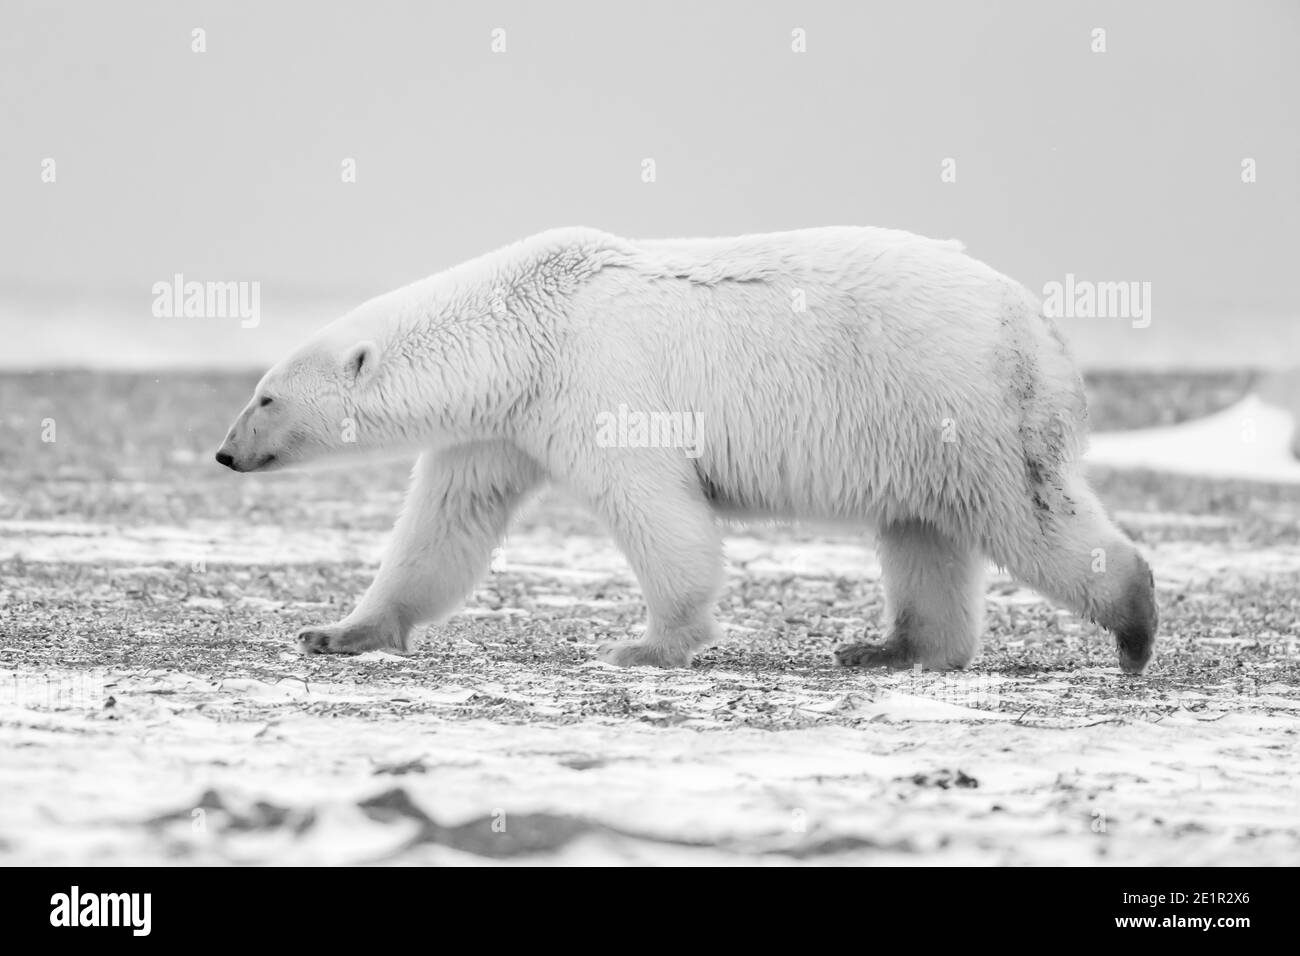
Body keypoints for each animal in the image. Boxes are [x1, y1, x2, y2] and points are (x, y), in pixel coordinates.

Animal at [215, 226, 1158, 674]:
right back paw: (887, 647)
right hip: (919, 429)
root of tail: (1041, 321)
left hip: (964, 400)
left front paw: (644, 646)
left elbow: (656, 510)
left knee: (1026, 512)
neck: (527, 327)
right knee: (923, 535)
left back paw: (1135, 626)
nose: (225, 455)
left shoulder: (598, 383)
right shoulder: (505, 424)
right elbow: (444, 526)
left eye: (264, 396)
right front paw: (336, 632)